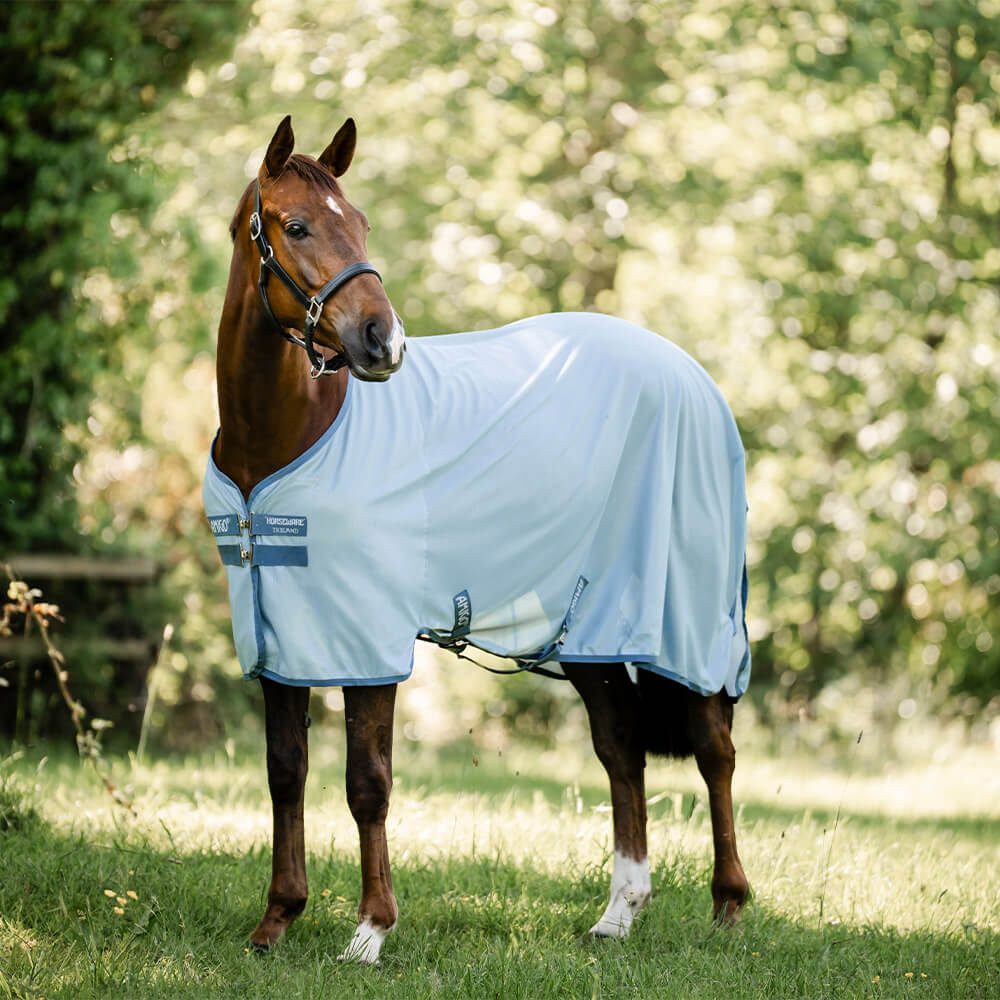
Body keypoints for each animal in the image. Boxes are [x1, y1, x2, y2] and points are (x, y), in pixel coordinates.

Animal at [206, 114, 751, 964]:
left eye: (360, 222)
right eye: (296, 226)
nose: (382, 341)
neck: (285, 438)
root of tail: (693, 376)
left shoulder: (366, 637)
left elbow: (367, 782)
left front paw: (370, 932)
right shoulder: (279, 635)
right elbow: (284, 772)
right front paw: (276, 921)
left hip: (687, 618)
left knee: (714, 749)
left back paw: (727, 905)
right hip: (592, 631)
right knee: (621, 751)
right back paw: (618, 914)